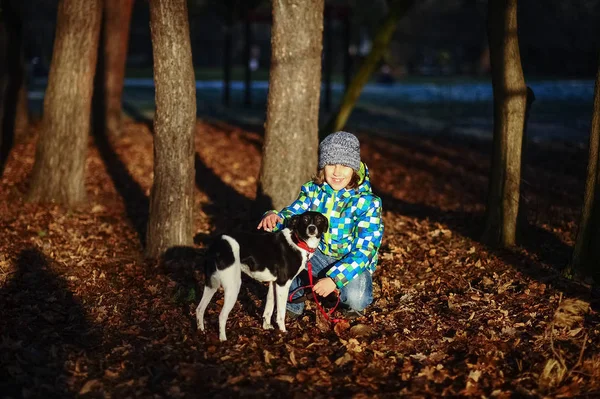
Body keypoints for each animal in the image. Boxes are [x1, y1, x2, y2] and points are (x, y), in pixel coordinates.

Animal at [197, 211, 328, 342]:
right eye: (305, 219)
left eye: (319, 220)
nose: (312, 228)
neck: (297, 241)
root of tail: (217, 244)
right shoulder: (283, 284)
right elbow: (281, 313)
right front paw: (283, 332)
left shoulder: (274, 283)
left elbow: (268, 309)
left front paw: (267, 327)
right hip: (233, 285)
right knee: (222, 315)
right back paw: (223, 339)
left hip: (211, 285)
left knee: (199, 309)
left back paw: (201, 331)